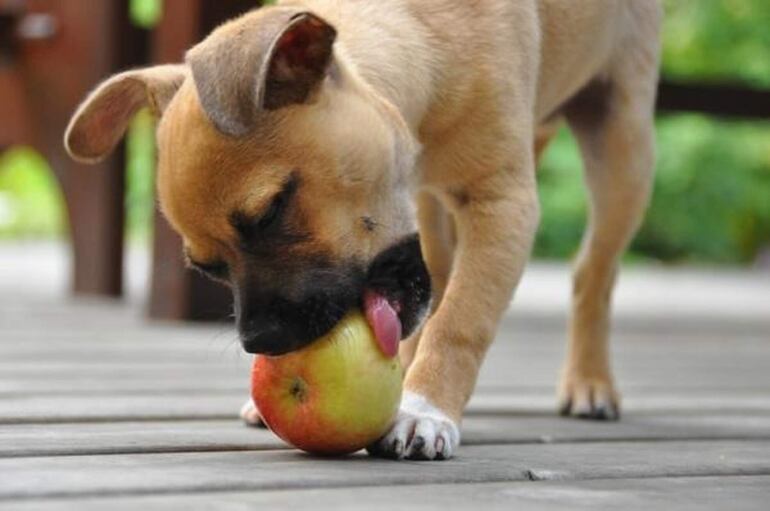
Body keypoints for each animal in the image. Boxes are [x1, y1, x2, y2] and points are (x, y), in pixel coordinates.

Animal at [63, 0, 660, 462]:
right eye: (206, 267)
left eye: (273, 210)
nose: (260, 342)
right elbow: (438, 308)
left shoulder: (503, 206)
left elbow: (461, 321)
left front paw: (425, 409)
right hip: (436, 211)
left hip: (623, 150)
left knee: (593, 274)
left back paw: (589, 383)